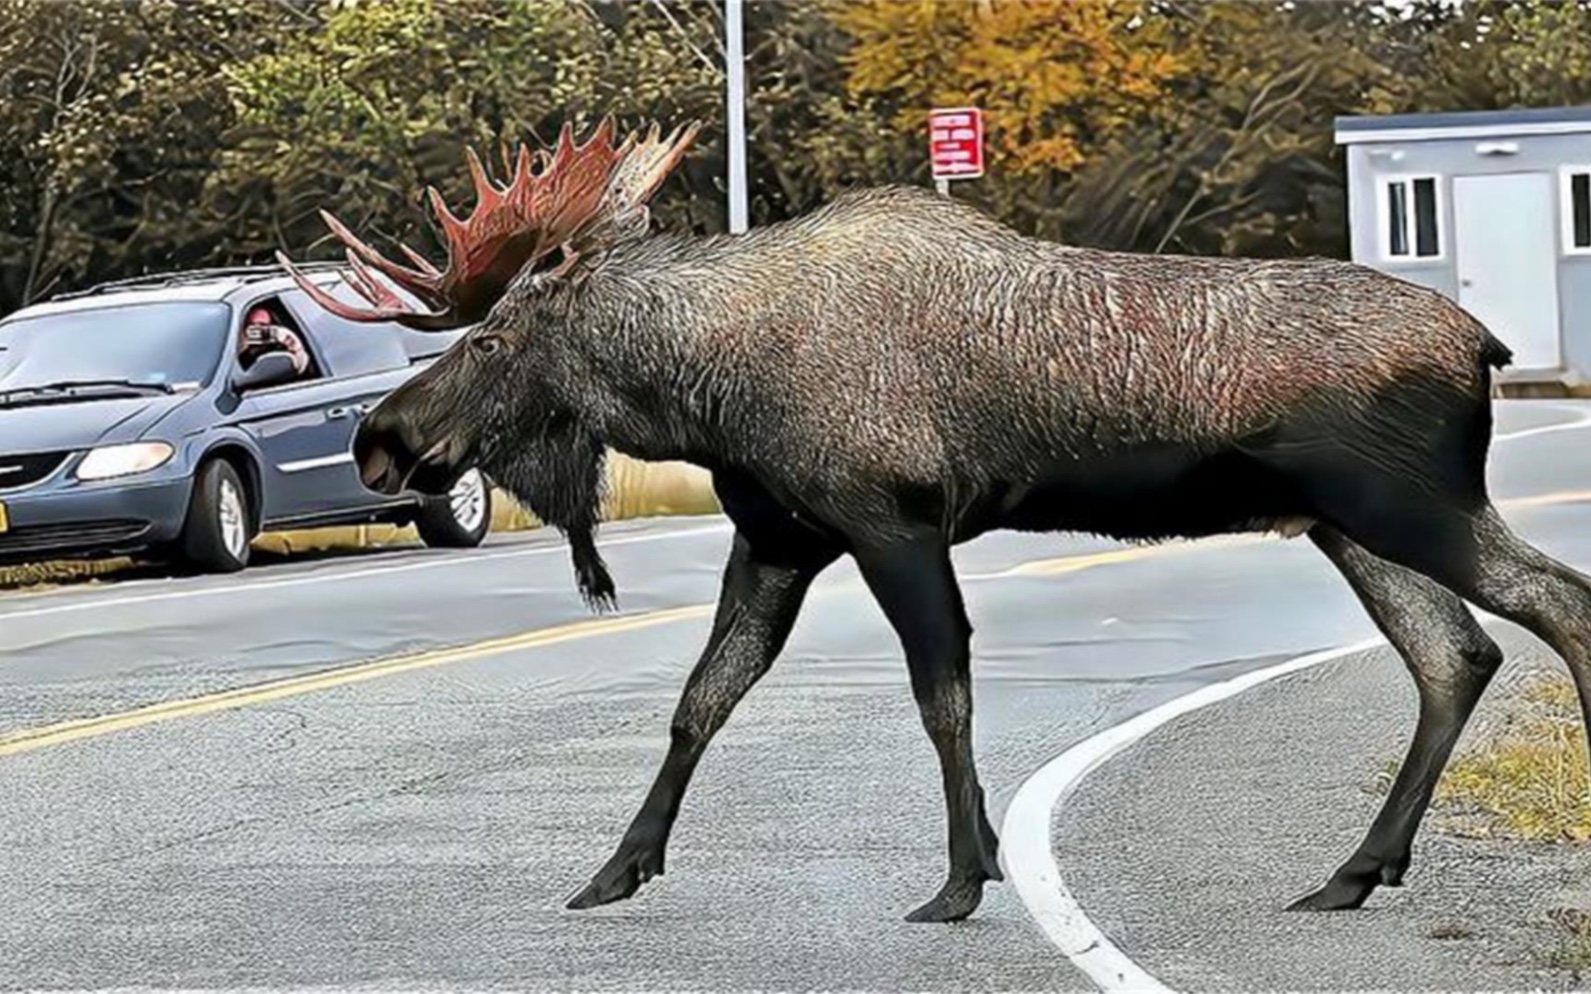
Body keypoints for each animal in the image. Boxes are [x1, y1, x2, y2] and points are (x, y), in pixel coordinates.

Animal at [280, 118, 1591, 922]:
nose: (377, 439)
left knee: (1554, 603)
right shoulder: (779, 537)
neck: (701, 396)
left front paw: (964, 878)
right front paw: (616, 867)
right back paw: (1351, 872)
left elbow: (941, 695)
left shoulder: (891, 521)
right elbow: (701, 699)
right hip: (1347, 523)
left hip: (1409, 503)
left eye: (491, 340)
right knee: (1456, 653)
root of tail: (1484, 342)